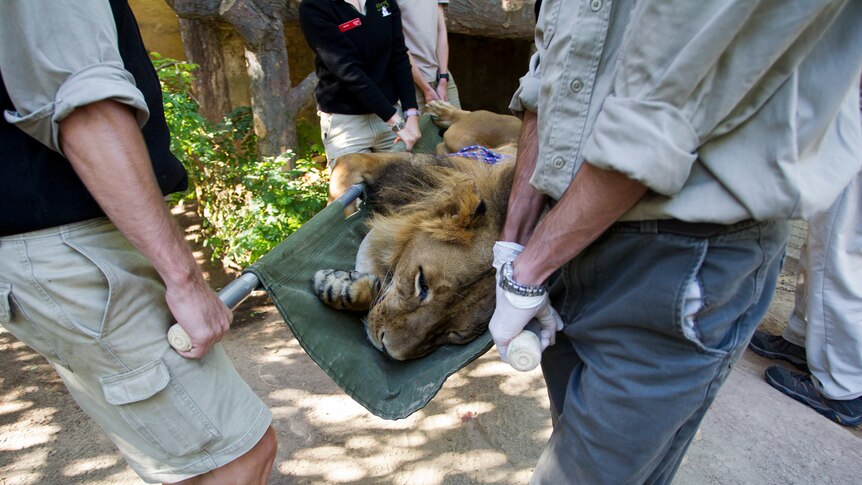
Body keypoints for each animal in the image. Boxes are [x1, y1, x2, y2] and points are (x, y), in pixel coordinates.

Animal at [314, 102, 524, 360]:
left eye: (455, 334)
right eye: (422, 283)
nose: (387, 350)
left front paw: (341, 286)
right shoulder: (398, 165)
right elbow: (344, 172)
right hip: (461, 134)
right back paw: (442, 110)